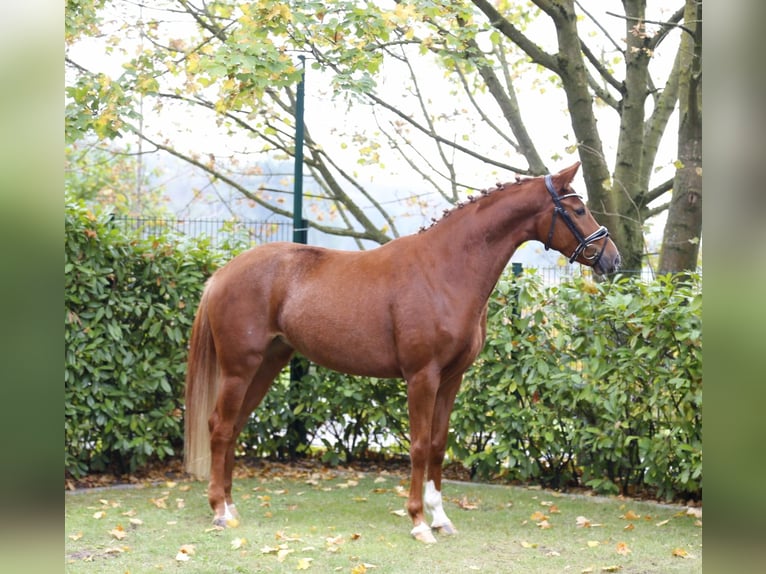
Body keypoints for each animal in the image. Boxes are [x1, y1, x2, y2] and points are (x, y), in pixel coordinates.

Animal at [183, 161, 620, 543]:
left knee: (234, 427)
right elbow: (419, 446)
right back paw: (218, 510)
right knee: (220, 428)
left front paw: (441, 518)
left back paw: (231, 507)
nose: (612, 259)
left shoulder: (451, 379)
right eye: (578, 209)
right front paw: (418, 522)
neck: (444, 271)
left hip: (268, 364)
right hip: (240, 369)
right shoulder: (421, 377)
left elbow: (439, 445)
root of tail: (222, 274)